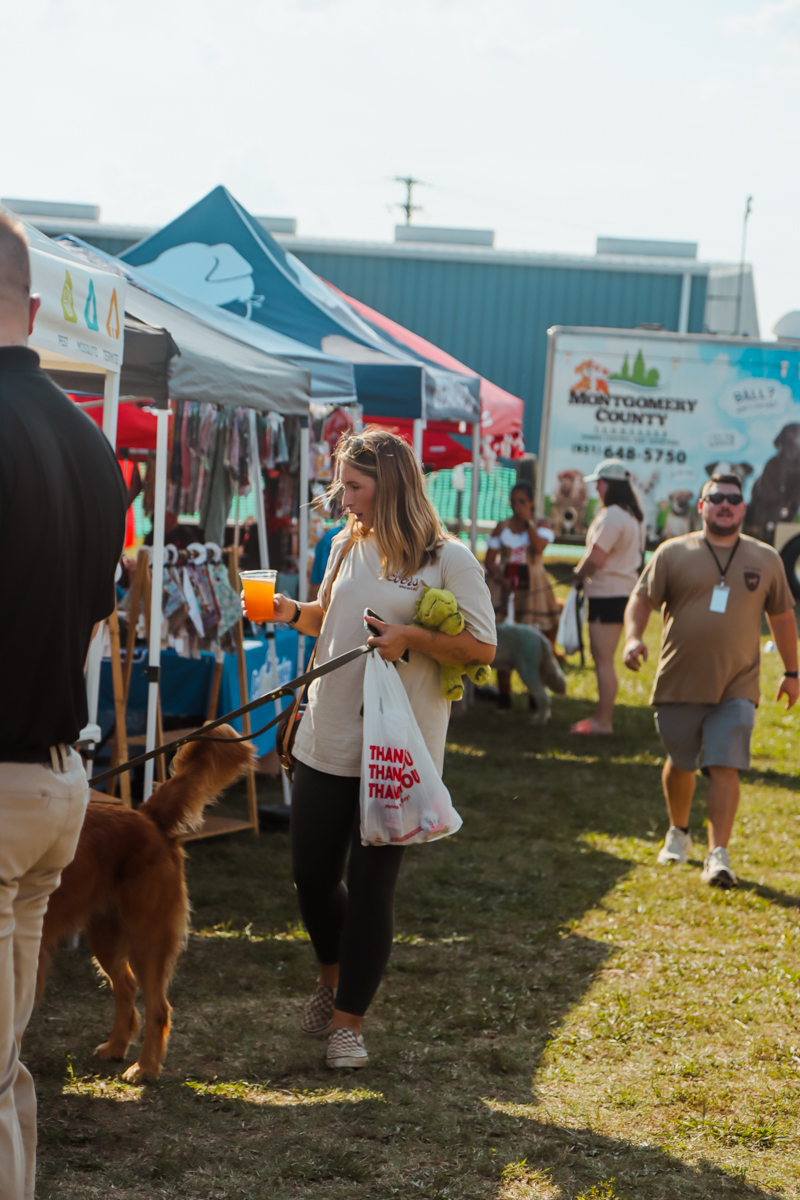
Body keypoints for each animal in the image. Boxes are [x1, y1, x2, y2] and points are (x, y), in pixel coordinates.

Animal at [37, 726, 255, 1082]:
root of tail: (147, 816)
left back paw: (146, 1067)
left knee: (157, 1007)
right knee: (125, 987)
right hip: (107, 935)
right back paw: (116, 1046)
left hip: (147, 937)